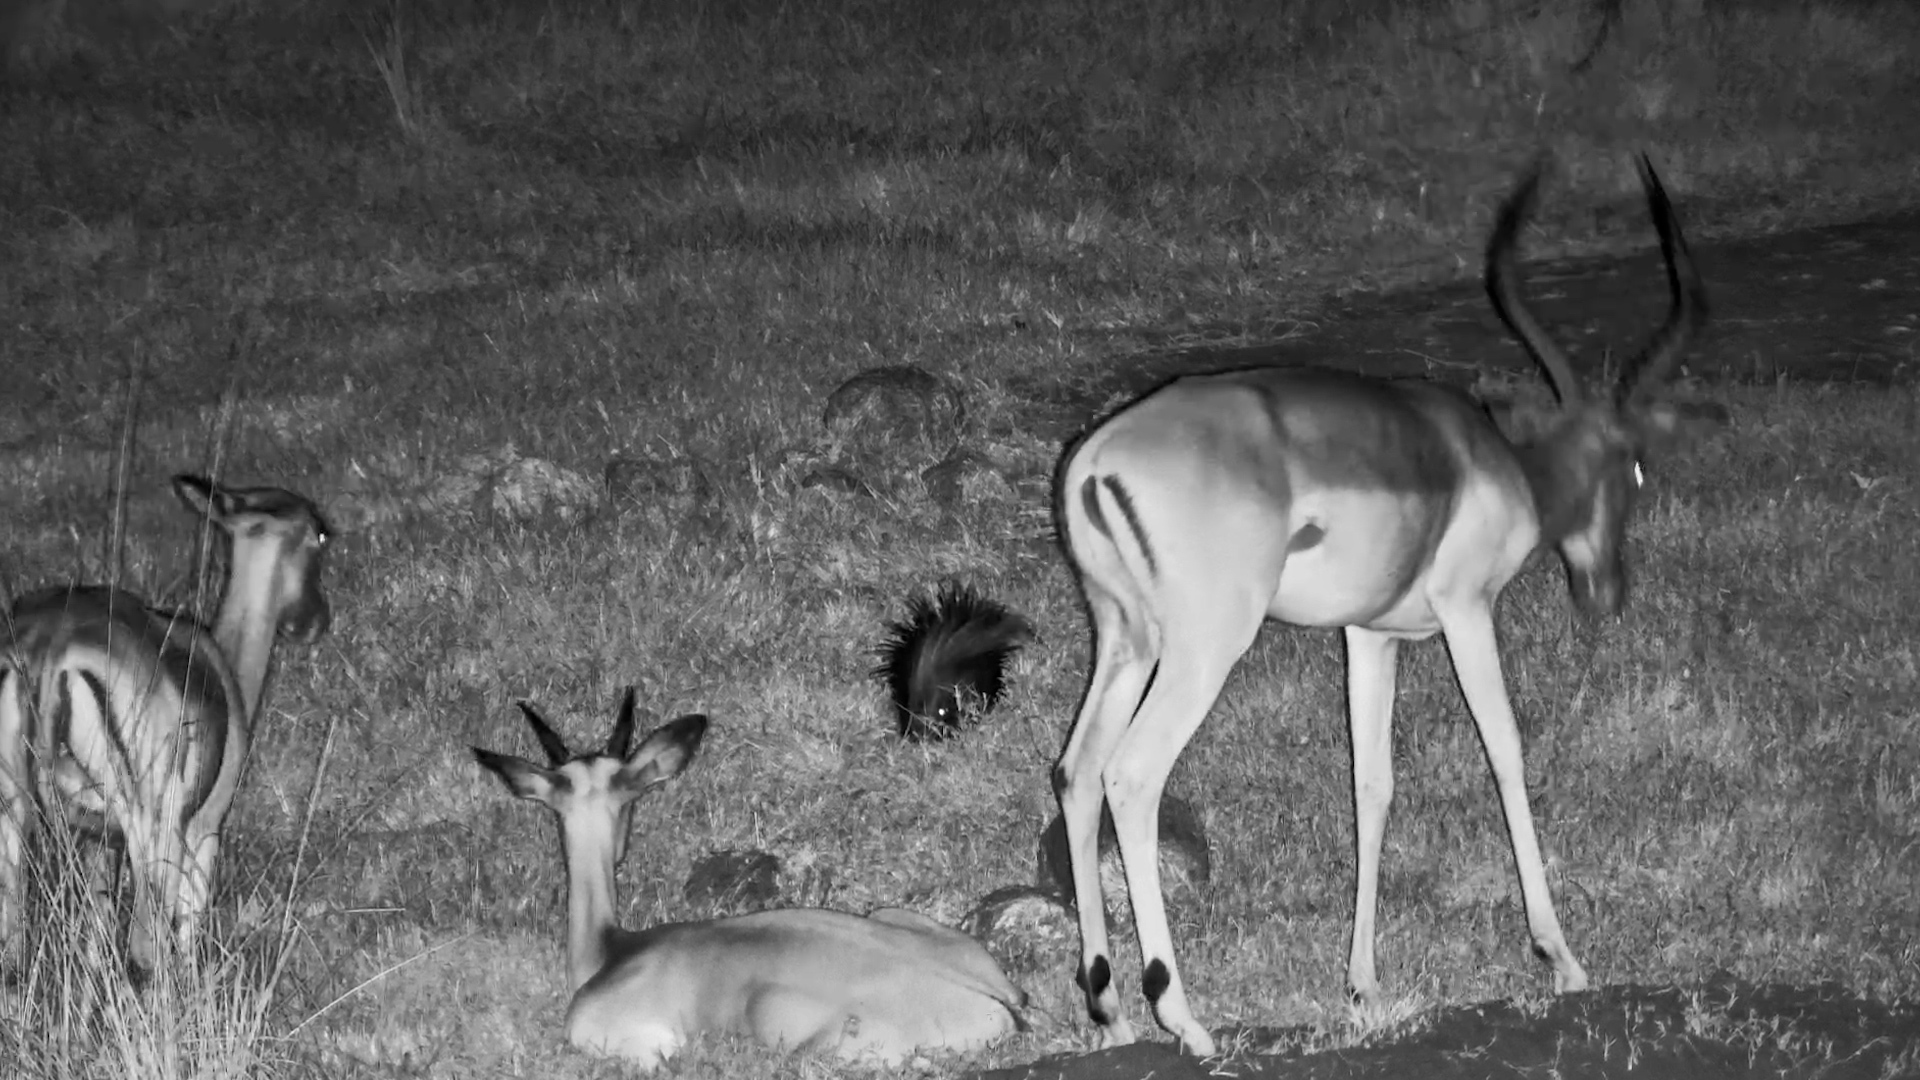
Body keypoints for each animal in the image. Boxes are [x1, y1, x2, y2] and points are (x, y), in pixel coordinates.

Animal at [0, 475, 332, 978]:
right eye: (320, 534)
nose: (316, 620)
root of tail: (44, 656)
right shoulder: (202, 831)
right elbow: (185, 933)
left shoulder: (98, 842)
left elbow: (95, 944)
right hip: (151, 831)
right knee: (144, 951)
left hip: (14, 821)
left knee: (13, 955)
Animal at [1052, 155, 1708, 1055]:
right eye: (1635, 466)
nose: (1607, 592)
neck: (1496, 465)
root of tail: (1096, 463)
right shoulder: (1467, 612)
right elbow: (1505, 750)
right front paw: (1562, 958)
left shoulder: (1368, 635)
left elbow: (1373, 781)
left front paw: (1362, 984)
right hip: (1206, 649)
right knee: (1133, 772)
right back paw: (1184, 1017)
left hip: (1126, 639)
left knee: (1077, 770)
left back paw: (1111, 1009)